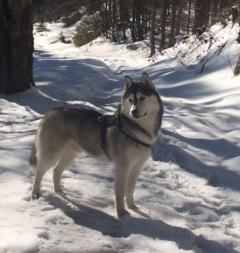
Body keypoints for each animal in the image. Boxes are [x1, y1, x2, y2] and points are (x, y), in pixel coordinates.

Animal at [30, 73, 163, 217]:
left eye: (142, 98)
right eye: (130, 100)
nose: (133, 111)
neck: (136, 131)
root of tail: (50, 112)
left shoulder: (137, 167)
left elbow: (130, 189)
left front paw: (132, 207)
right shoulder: (123, 166)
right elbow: (120, 191)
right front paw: (121, 213)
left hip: (70, 154)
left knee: (56, 170)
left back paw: (58, 190)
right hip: (52, 154)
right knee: (39, 172)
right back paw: (35, 194)